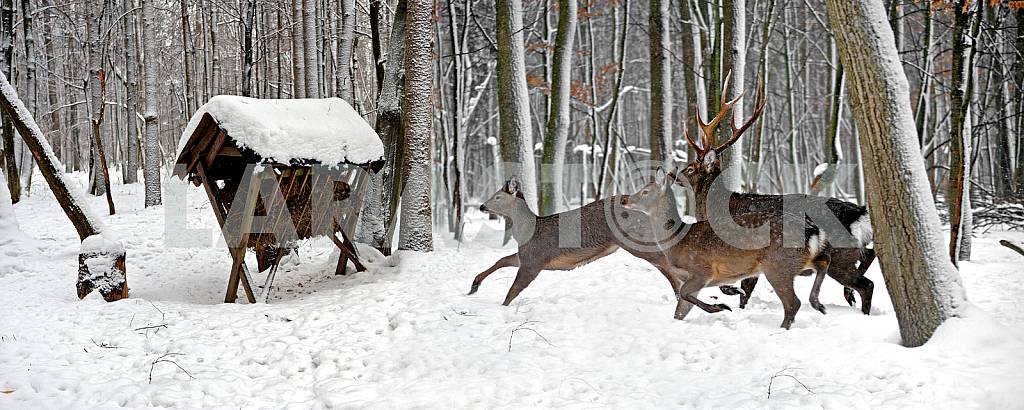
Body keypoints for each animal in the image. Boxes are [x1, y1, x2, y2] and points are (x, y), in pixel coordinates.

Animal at [468, 177, 733, 318]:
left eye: (498, 197)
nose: (482, 206)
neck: (526, 231)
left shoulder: (535, 260)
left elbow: (512, 291)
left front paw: (499, 307)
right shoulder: (526, 256)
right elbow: (501, 260)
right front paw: (473, 286)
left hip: (636, 241)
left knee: (667, 264)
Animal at [620, 172, 830, 329]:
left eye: (645, 191)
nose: (624, 199)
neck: (677, 240)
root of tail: (813, 230)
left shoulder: (701, 270)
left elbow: (685, 295)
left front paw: (720, 307)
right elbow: (680, 311)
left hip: (778, 266)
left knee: (793, 303)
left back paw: (783, 328)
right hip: (799, 260)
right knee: (822, 262)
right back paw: (818, 303)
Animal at [679, 73, 876, 315]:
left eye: (690, 168)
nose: (674, 174)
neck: (716, 208)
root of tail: (860, 213)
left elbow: (741, 287)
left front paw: (732, 294)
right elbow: (746, 289)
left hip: (841, 255)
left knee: (866, 284)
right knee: (869, 258)